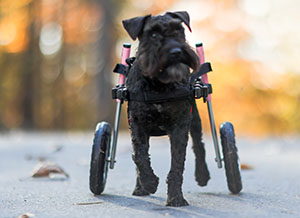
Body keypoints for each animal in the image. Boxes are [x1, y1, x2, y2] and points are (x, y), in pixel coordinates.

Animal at [123, 11, 210, 206]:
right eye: (153, 34)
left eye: (179, 30)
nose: (176, 52)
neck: (159, 85)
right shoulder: (138, 124)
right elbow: (139, 156)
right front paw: (149, 183)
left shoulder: (180, 125)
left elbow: (177, 163)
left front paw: (176, 198)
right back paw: (140, 187)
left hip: (195, 120)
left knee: (199, 146)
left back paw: (202, 175)